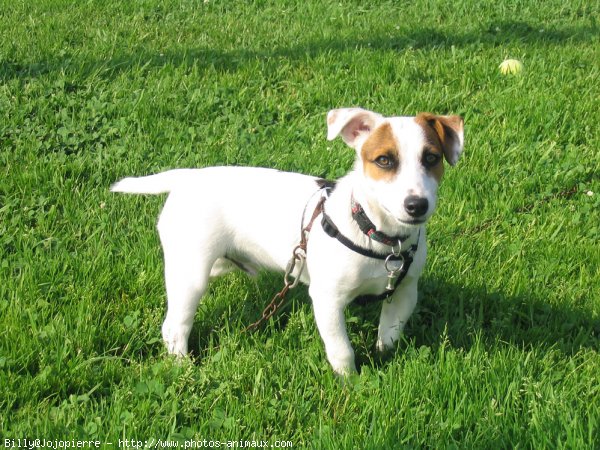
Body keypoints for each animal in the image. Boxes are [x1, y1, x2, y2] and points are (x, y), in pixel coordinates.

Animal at [113, 107, 468, 374]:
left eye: (432, 158)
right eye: (384, 160)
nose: (417, 205)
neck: (376, 234)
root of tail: (187, 177)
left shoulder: (405, 292)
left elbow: (389, 336)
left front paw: (385, 359)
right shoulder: (328, 300)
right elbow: (342, 351)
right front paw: (351, 383)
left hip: (213, 262)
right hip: (191, 276)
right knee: (174, 327)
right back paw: (183, 365)